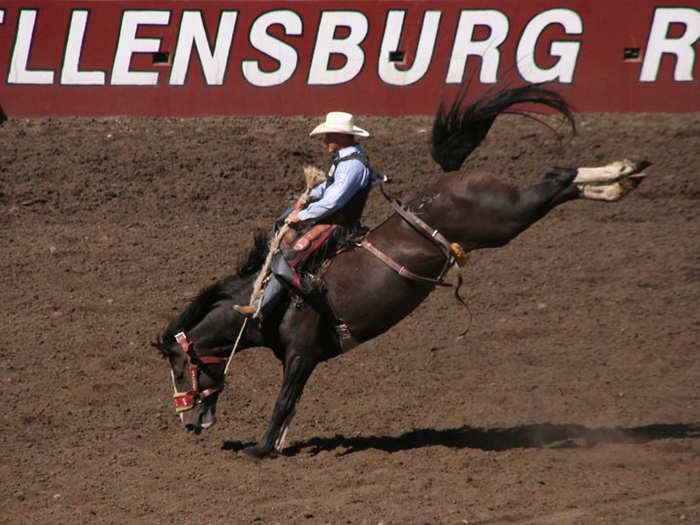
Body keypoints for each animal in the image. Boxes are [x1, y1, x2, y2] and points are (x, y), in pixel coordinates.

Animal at [153, 84, 652, 456]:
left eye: (179, 369)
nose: (188, 422)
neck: (264, 301)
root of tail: (453, 177)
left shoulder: (301, 355)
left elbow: (283, 402)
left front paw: (259, 449)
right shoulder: (302, 359)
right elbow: (290, 408)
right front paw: (274, 445)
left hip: (506, 218)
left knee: (555, 178)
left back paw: (622, 171)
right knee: (557, 179)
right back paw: (624, 177)